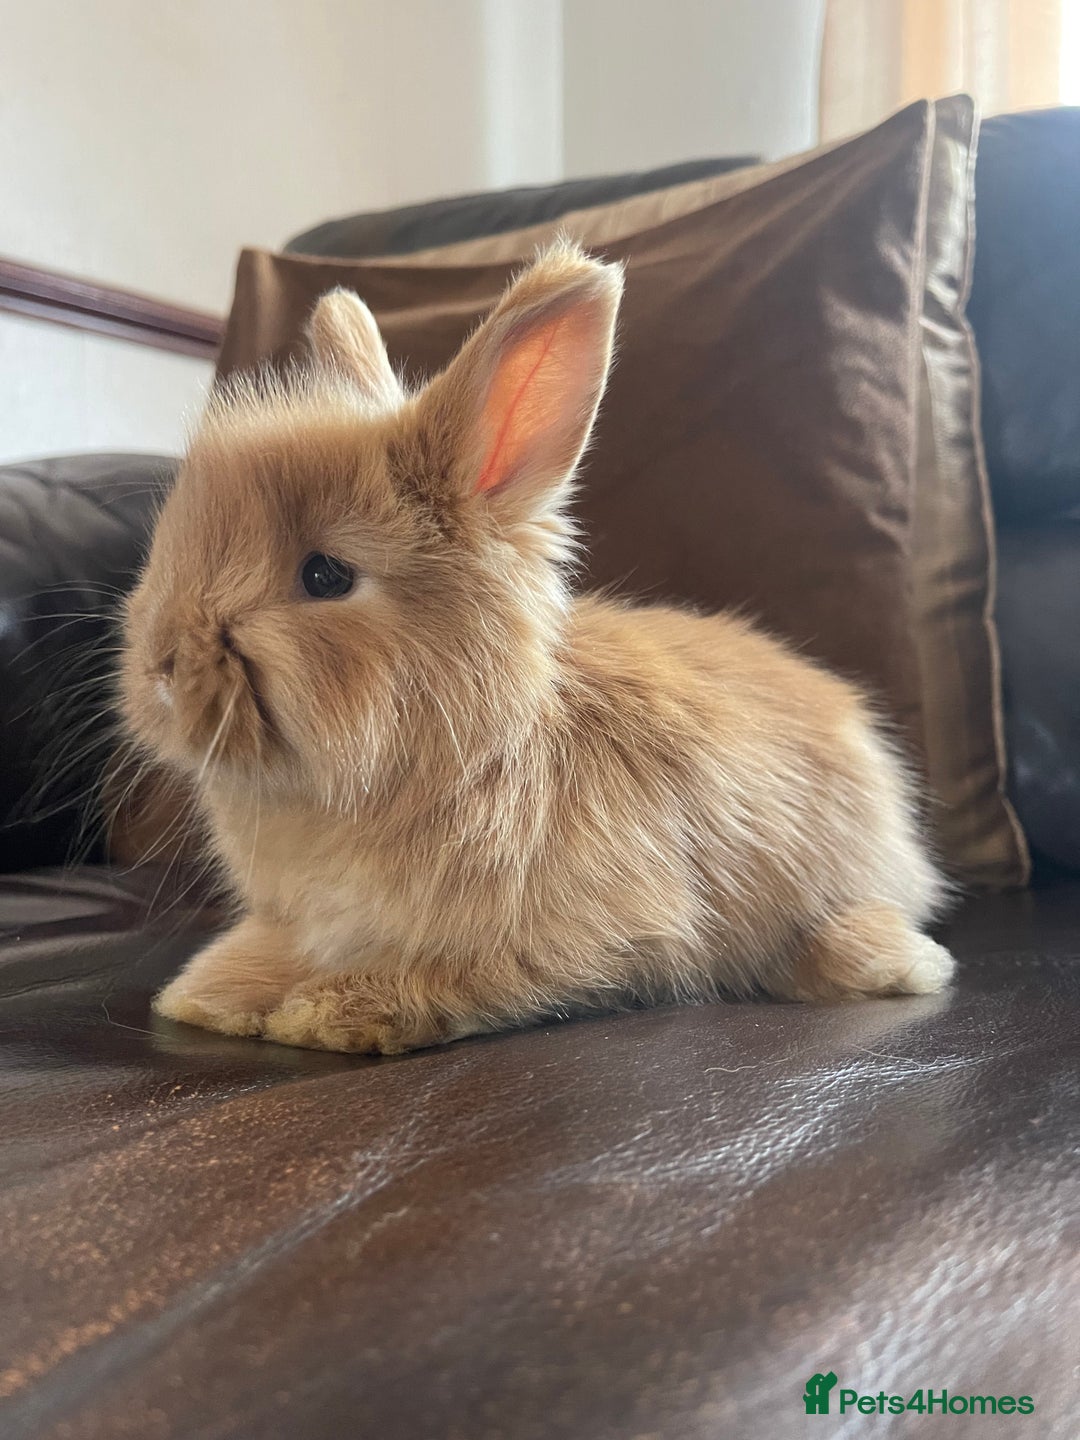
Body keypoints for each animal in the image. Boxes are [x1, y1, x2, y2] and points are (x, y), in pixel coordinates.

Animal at [121, 240, 954, 1055]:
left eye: (326, 575)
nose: (160, 665)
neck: (455, 751)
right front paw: (207, 994)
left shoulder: (588, 936)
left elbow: (465, 974)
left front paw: (335, 1013)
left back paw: (893, 958)